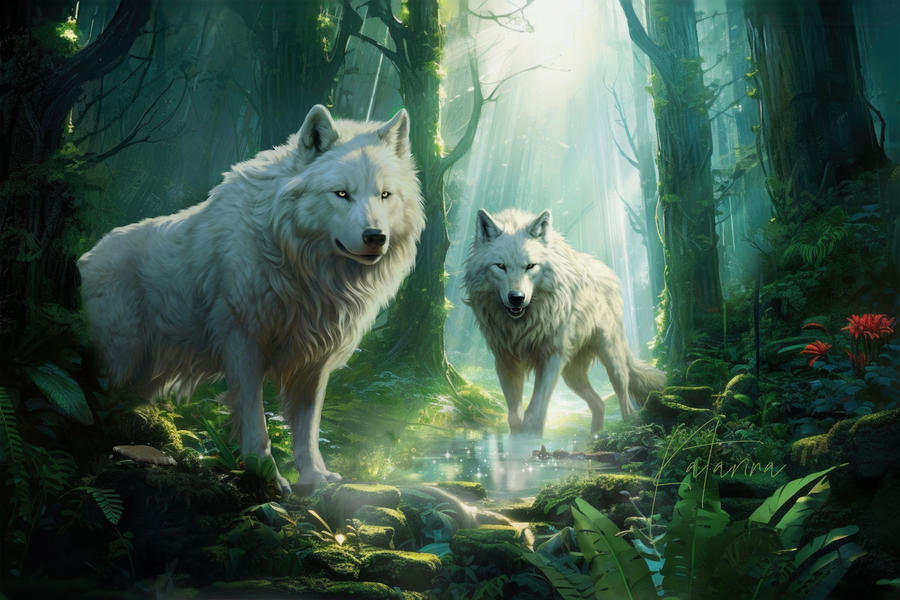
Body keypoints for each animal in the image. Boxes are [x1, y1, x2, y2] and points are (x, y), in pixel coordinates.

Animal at [78, 105, 424, 494]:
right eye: (341, 194)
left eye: (385, 195)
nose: (375, 236)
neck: (298, 265)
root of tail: (84, 259)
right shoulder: (243, 343)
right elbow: (255, 422)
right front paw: (268, 477)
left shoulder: (314, 360)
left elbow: (307, 428)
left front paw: (315, 477)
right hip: (120, 360)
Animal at [463, 208, 665, 435]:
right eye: (500, 266)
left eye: (530, 266)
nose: (516, 298)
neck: (522, 325)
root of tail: (608, 271)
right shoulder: (505, 361)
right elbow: (514, 417)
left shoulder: (551, 357)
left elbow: (535, 415)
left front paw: (530, 438)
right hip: (571, 374)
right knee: (599, 403)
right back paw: (594, 437)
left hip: (610, 358)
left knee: (624, 395)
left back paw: (628, 428)